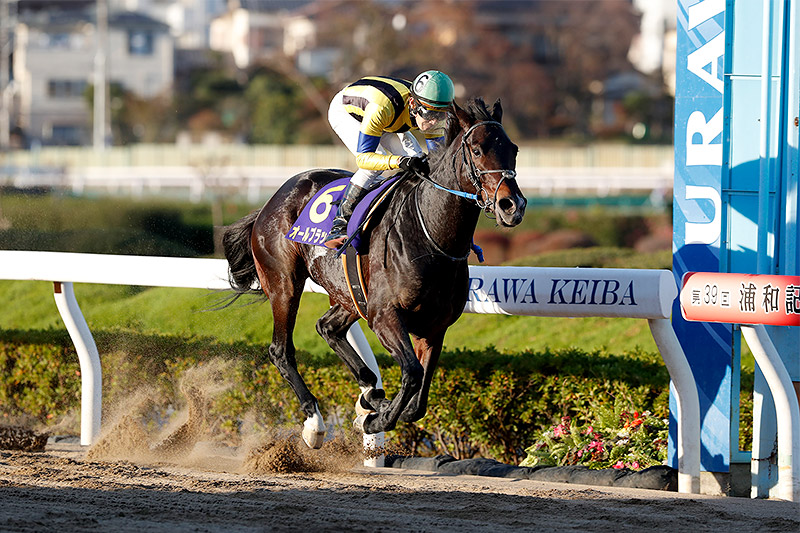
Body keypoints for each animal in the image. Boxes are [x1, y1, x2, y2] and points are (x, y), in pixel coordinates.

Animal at [222, 97, 528, 446]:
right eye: (476, 150)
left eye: (513, 149)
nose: (512, 206)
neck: (430, 235)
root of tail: (270, 202)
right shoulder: (385, 316)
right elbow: (412, 373)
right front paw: (376, 421)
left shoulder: (434, 328)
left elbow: (419, 399)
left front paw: (380, 408)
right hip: (284, 284)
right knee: (281, 350)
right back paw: (315, 422)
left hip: (350, 294)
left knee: (328, 328)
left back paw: (371, 391)